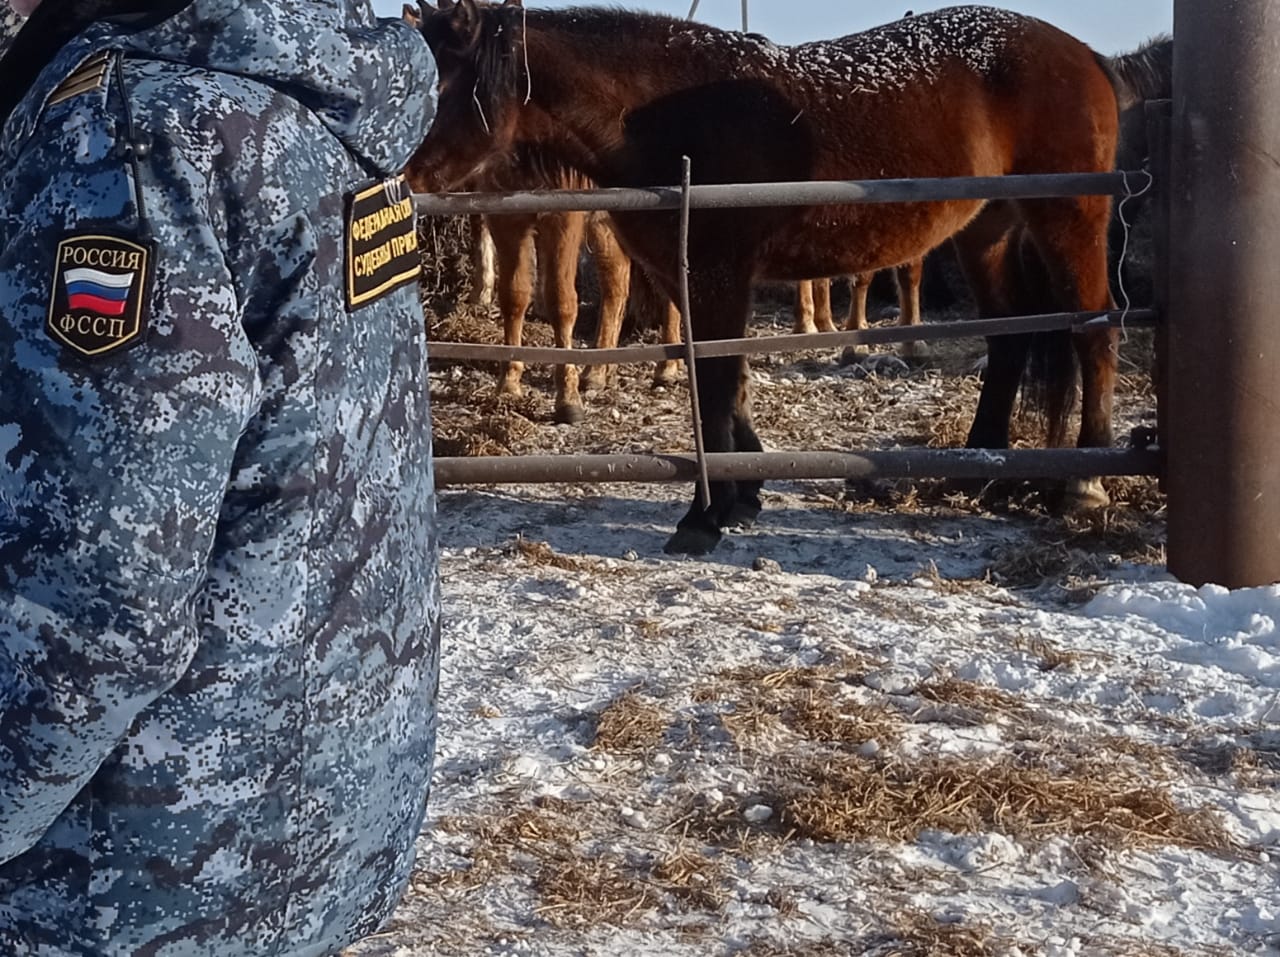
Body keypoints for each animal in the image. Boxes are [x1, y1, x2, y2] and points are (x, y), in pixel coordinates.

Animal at [407, 0, 1162, 555]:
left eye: (437, 84)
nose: (400, 182)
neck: (665, 118)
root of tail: (1086, 57)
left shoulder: (717, 274)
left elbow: (715, 382)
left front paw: (704, 517)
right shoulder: (689, 277)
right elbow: (724, 376)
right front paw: (745, 494)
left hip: (1068, 218)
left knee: (1094, 332)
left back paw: (1083, 487)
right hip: (989, 230)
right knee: (1009, 342)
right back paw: (980, 471)